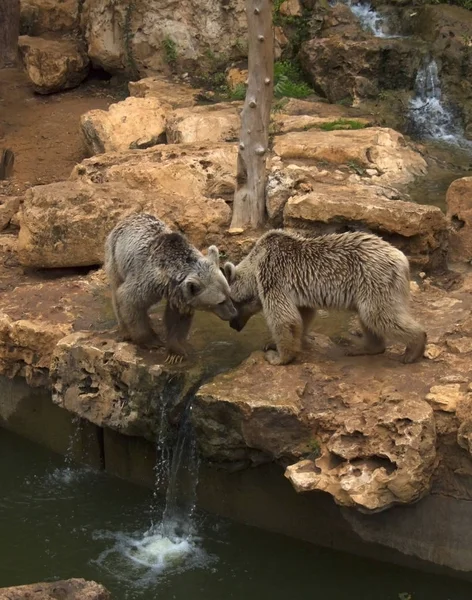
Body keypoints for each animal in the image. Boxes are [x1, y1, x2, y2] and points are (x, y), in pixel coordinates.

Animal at [103, 213, 236, 364]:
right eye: (220, 301)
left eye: (229, 294)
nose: (233, 313)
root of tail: (129, 217)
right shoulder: (146, 280)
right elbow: (129, 300)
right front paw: (152, 341)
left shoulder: (179, 294)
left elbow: (177, 319)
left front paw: (176, 353)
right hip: (115, 256)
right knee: (116, 290)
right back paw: (125, 331)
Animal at [223, 229, 426, 366]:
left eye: (231, 304)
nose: (233, 325)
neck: (256, 261)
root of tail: (402, 259)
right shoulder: (296, 289)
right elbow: (303, 315)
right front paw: (278, 344)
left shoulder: (273, 275)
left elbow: (283, 318)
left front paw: (277, 356)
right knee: (368, 318)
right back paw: (363, 348)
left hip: (374, 280)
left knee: (379, 315)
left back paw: (413, 350)